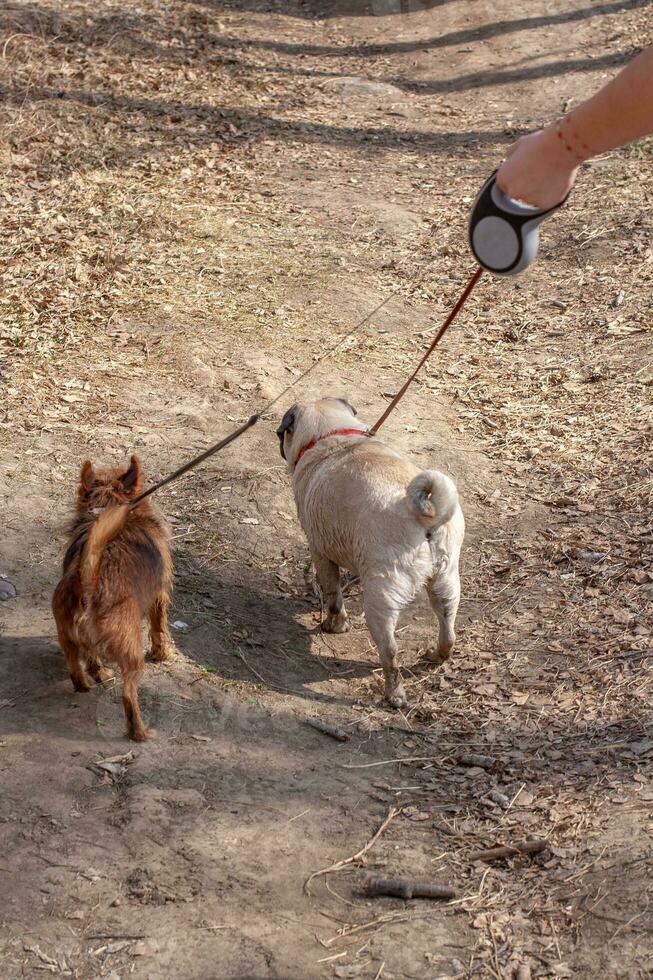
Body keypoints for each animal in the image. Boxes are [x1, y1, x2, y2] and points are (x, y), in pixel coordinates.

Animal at [52, 456, 173, 740]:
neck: (108, 505)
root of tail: (88, 582)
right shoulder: (159, 596)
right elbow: (159, 627)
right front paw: (162, 653)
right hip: (131, 652)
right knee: (128, 695)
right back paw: (139, 732)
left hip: (68, 637)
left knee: (78, 666)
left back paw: (90, 681)